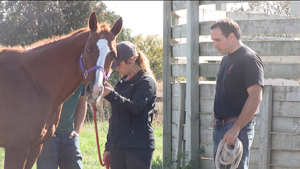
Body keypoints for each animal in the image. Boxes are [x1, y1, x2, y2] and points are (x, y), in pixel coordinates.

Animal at [0, 11, 123, 168]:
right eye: (88, 49)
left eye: (113, 55)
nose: (95, 90)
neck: (34, 81)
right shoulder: (17, 149)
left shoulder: (35, 148)